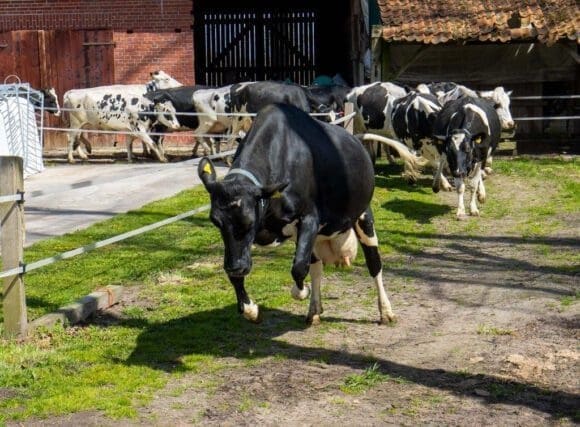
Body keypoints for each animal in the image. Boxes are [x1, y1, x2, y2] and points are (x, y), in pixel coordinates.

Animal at [198, 103, 394, 324]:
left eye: (249, 220)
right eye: (215, 221)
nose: (236, 267)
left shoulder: (309, 218)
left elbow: (299, 267)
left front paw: (301, 291)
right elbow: (236, 275)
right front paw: (250, 309)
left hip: (363, 216)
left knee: (374, 264)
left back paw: (386, 311)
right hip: (319, 236)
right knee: (317, 267)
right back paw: (314, 310)